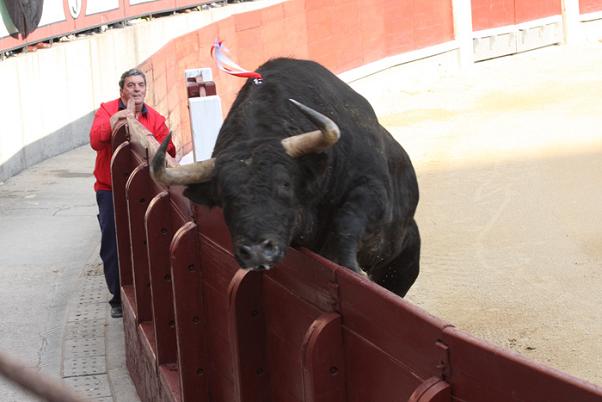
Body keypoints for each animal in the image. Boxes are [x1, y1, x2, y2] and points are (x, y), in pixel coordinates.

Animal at [151, 58, 418, 296]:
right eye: (224, 197)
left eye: (285, 184)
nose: (257, 252)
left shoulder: (373, 189)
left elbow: (348, 219)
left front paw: (349, 266)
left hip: (405, 264)